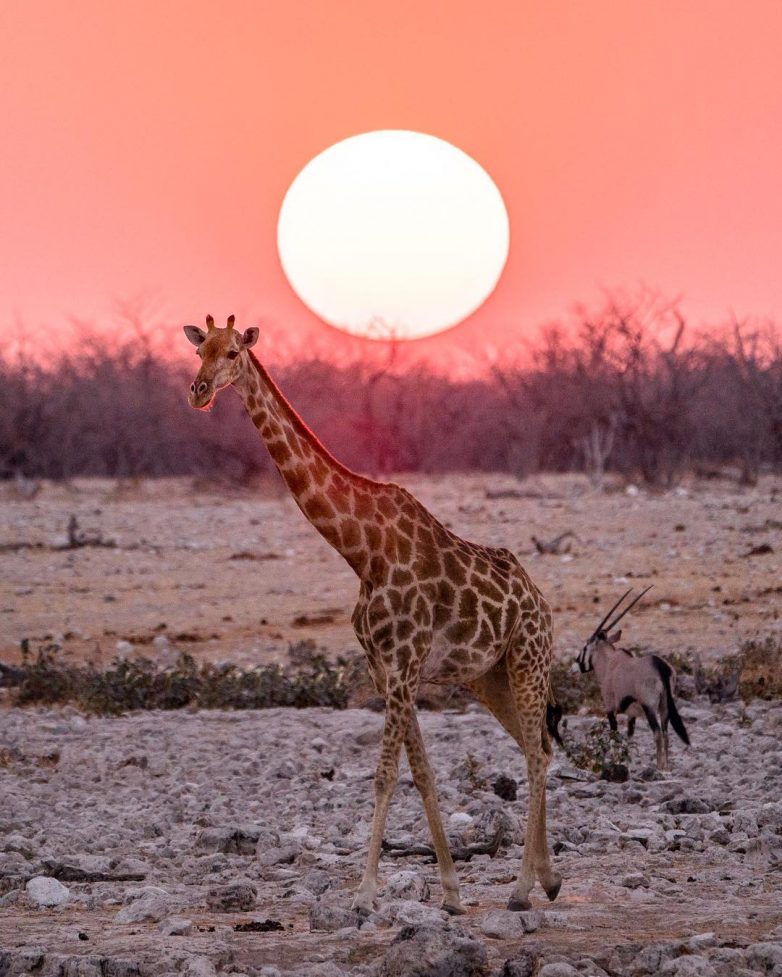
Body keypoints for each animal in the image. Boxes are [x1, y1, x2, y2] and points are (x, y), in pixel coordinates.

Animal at [184, 314, 564, 916]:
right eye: (200, 352)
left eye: (233, 354)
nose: (197, 392)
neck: (360, 551)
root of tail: (540, 600)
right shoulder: (386, 668)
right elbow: (422, 773)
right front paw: (450, 891)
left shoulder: (405, 663)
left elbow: (385, 774)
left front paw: (364, 892)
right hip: (489, 677)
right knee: (539, 746)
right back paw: (548, 878)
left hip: (528, 660)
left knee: (535, 753)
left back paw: (523, 889)